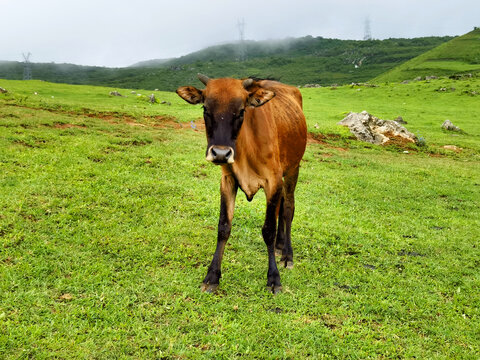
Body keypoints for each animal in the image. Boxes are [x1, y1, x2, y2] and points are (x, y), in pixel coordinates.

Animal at [176, 74, 308, 292]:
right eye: (205, 109)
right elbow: (223, 227)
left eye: (241, 111)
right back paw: (280, 245)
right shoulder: (228, 180)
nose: (220, 153)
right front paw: (212, 276)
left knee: (288, 208)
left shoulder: (273, 181)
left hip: (293, 168)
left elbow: (268, 229)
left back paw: (287, 254)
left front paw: (274, 278)